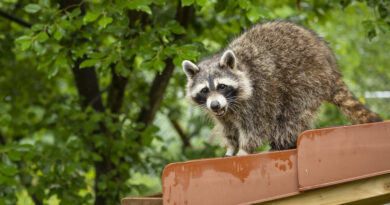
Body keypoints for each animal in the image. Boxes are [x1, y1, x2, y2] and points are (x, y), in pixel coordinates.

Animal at [182, 20, 380, 156]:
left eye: (222, 86)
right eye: (204, 90)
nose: (215, 105)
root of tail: (331, 67)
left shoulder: (259, 95)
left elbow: (257, 127)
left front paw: (244, 149)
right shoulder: (223, 113)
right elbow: (228, 128)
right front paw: (231, 147)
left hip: (307, 81)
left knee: (291, 116)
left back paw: (280, 145)